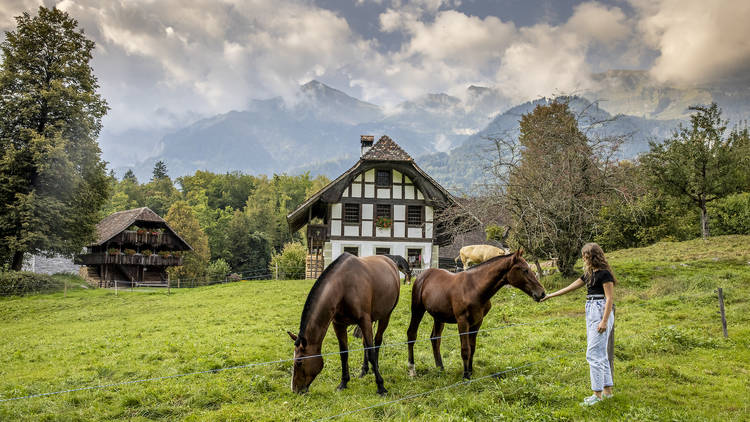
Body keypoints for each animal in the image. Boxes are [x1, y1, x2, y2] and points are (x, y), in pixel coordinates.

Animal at [286, 254, 400, 396]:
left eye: (299, 362)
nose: (295, 389)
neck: (343, 287)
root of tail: (390, 262)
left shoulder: (364, 321)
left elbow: (371, 352)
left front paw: (380, 386)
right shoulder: (339, 324)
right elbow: (344, 353)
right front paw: (343, 383)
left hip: (385, 316)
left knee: (377, 341)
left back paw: (375, 368)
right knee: (365, 343)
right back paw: (364, 370)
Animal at [408, 249, 544, 380]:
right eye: (525, 270)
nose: (541, 293)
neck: (474, 288)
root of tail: (422, 276)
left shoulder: (477, 322)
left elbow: (472, 348)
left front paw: (470, 371)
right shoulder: (462, 321)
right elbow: (465, 349)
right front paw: (465, 376)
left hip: (439, 317)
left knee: (435, 338)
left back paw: (440, 368)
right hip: (417, 310)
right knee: (411, 334)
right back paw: (412, 370)